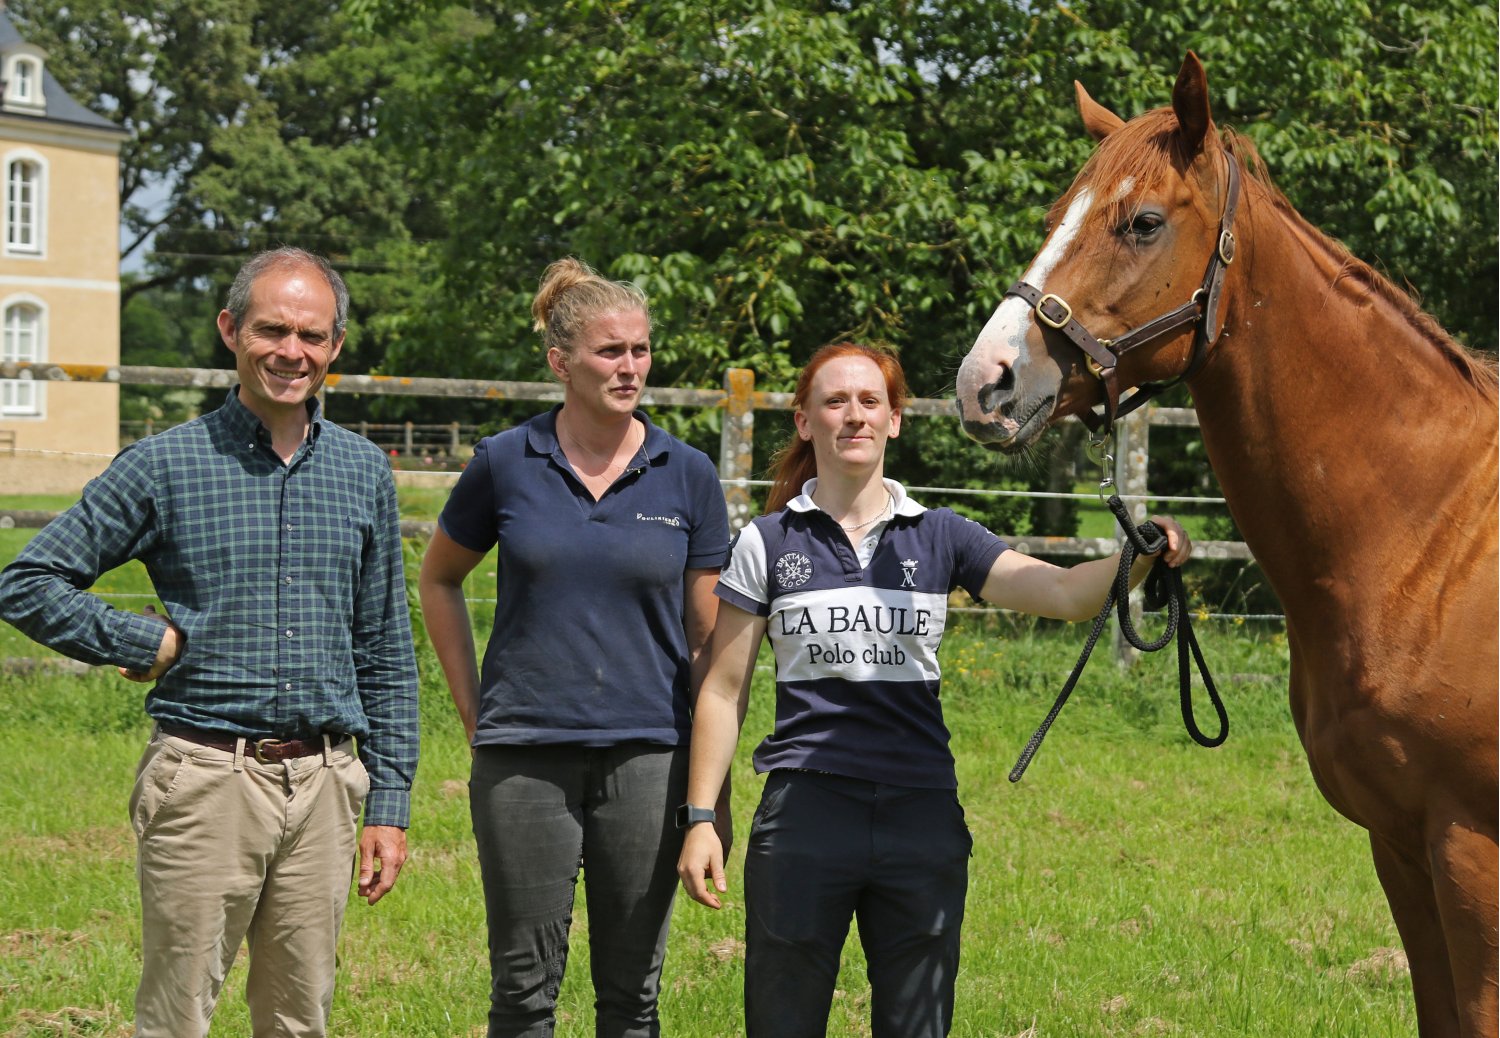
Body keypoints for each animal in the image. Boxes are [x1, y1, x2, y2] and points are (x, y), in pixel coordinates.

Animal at [954, 53, 1498, 1038]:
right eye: (1054, 218)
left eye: (1143, 221)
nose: (987, 384)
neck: (1437, 544)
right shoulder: (1402, 847)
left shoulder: (1473, 850)